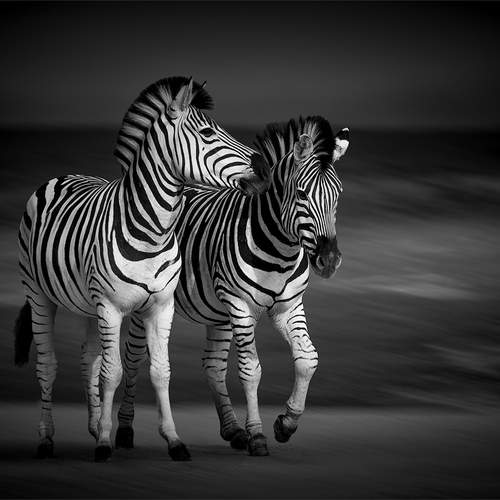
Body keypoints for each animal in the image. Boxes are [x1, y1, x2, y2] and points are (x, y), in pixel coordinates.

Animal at [14, 76, 270, 462]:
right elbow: (113, 372)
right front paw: (105, 445)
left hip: (86, 304)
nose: (264, 169)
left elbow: (159, 371)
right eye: (208, 133)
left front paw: (173, 440)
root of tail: (62, 176)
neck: (153, 230)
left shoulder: (161, 306)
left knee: (88, 361)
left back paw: (93, 426)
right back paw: (47, 440)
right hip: (39, 294)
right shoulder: (110, 307)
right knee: (48, 365)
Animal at [114, 116, 349, 455]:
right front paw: (258, 435)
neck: (281, 249)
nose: (329, 261)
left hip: (219, 312)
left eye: (338, 195)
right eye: (302, 194)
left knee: (213, 365)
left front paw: (286, 422)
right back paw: (124, 429)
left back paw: (232, 430)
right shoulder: (240, 304)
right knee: (133, 356)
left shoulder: (289, 306)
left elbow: (308, 359)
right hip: (148, 303)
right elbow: (251, 370)